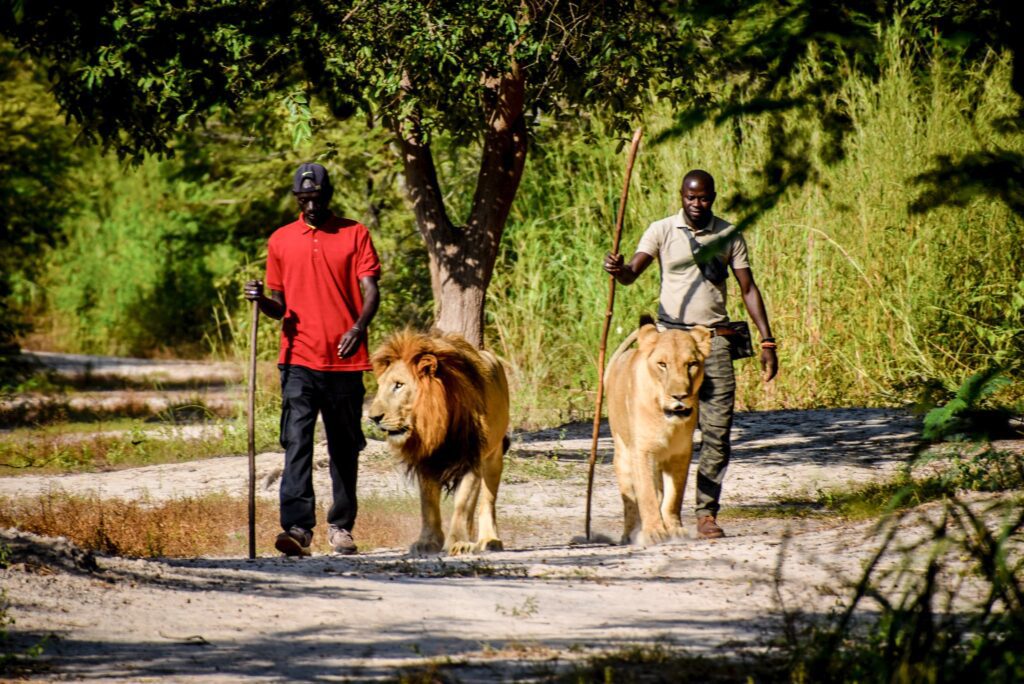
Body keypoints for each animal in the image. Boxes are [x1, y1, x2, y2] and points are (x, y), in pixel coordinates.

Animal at [370, 327, 509, 557]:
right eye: (381, 386)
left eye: (399, 385)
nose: (373, 417)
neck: (436, 424)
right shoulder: (426, 460)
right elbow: (428, 506)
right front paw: (428, 542)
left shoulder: (472, 459)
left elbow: (463, 504)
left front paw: (458, 542)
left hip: (494, 456)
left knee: (487, 501)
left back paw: (489, 540)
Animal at [602, 315, 708, 544]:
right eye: (662, 365)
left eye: (692, 364)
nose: (680, 396)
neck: (666, 420)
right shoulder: (642, 452)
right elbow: (647, 495)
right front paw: (654, 532)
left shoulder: (681, 454)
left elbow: (674, 496)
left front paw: (675, 529)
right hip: (623, 454)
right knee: (630, 502)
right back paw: (629, 535)